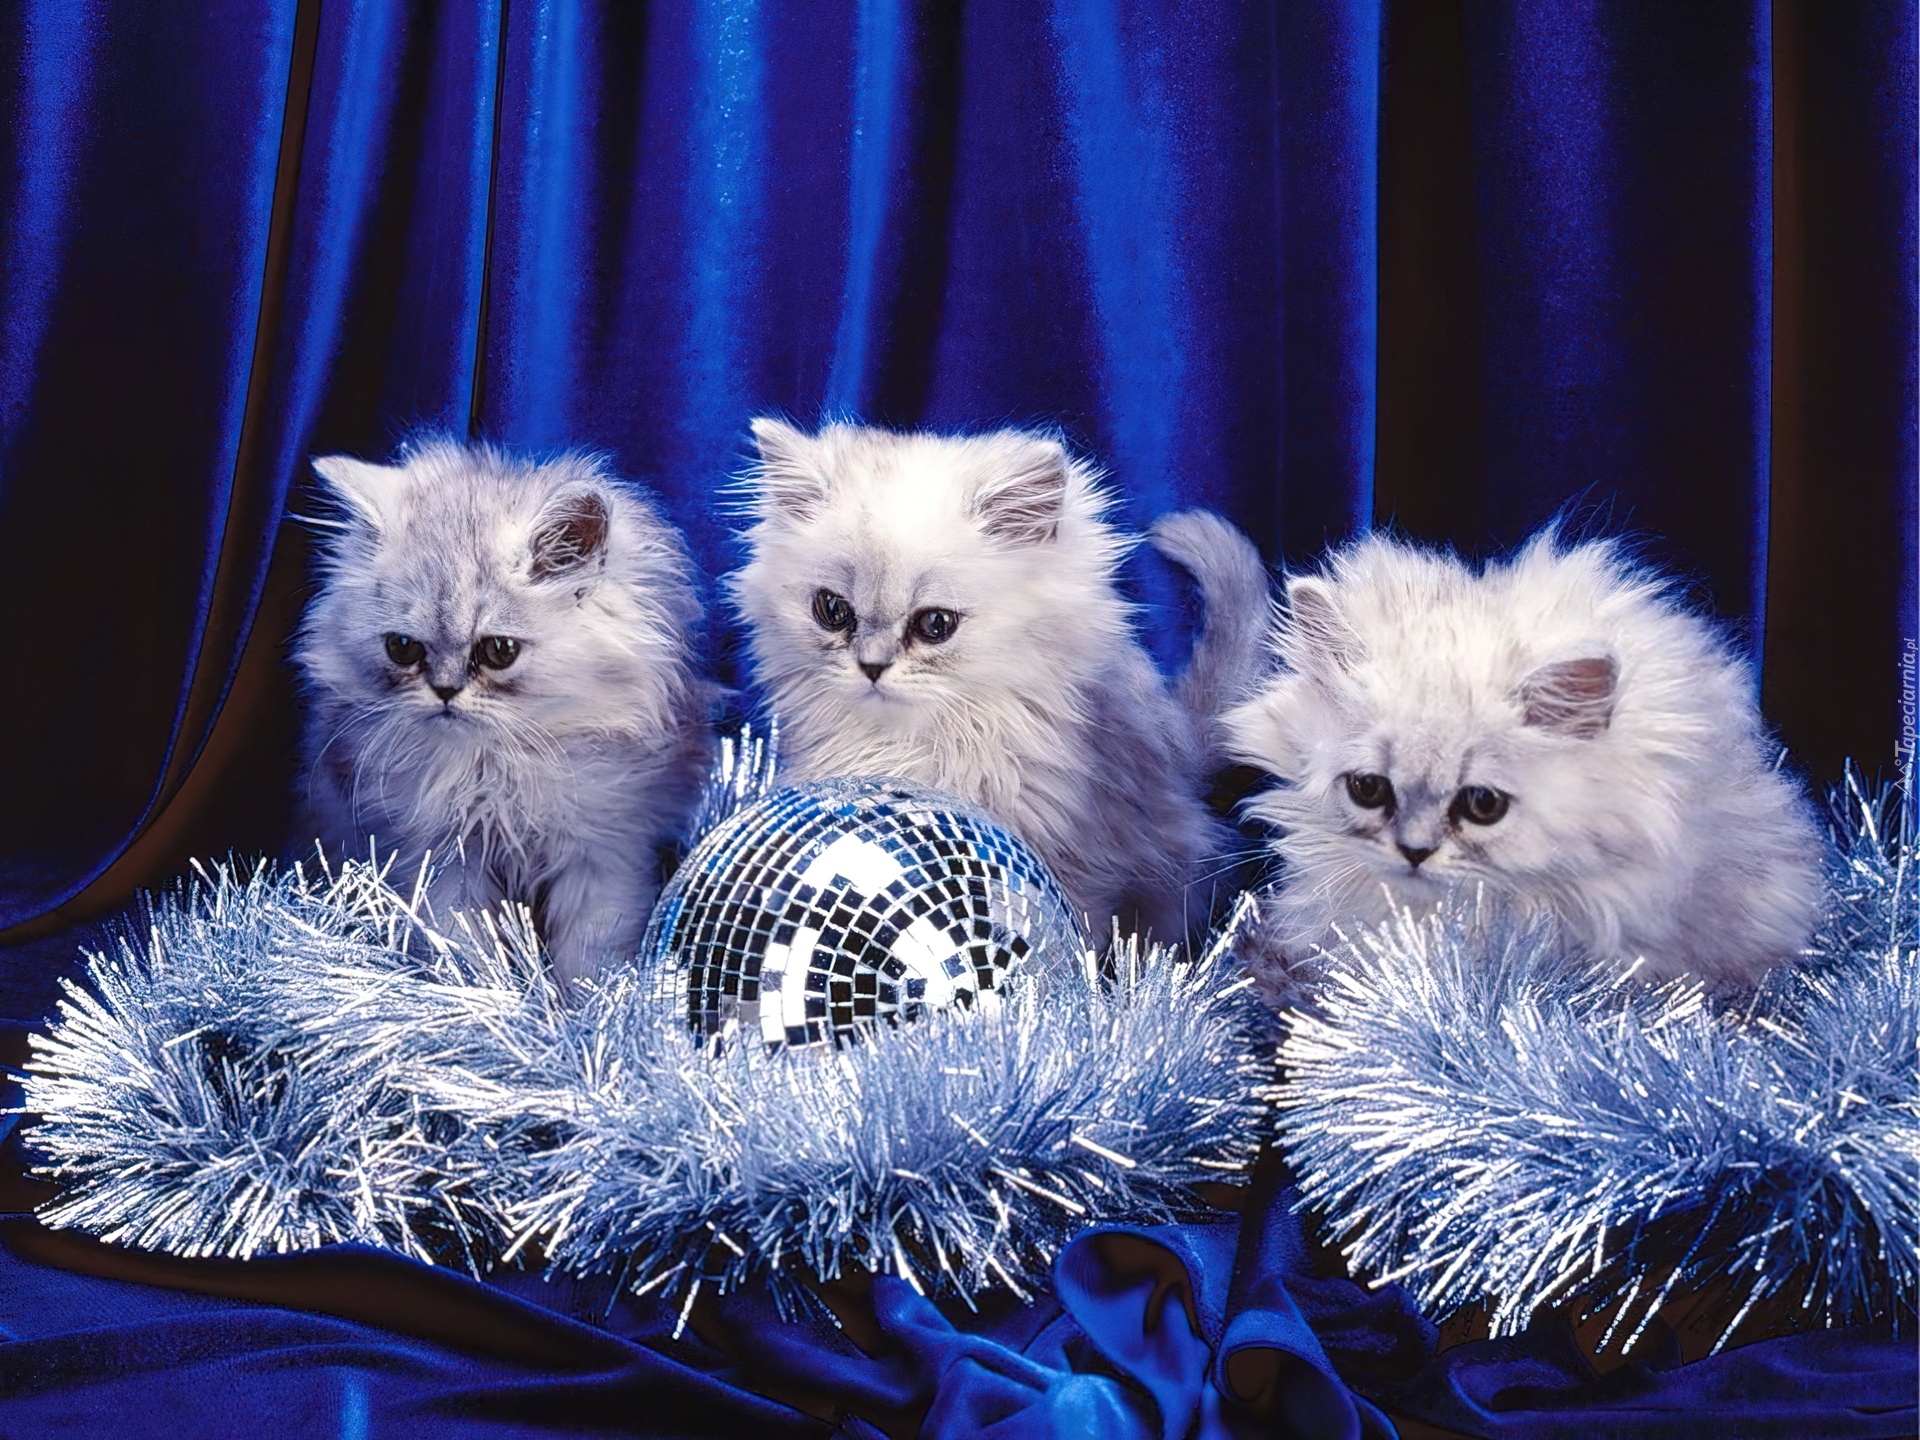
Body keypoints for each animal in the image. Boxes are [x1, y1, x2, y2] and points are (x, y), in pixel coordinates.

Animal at [295, 438, 716, 985]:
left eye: (498, 650)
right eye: (403, 648)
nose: (445, 691)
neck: (496, 770)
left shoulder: (606, 853)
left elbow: (590, 955)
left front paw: (591, 1006)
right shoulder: (443, 859)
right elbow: (460, 945)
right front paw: (482, 996)